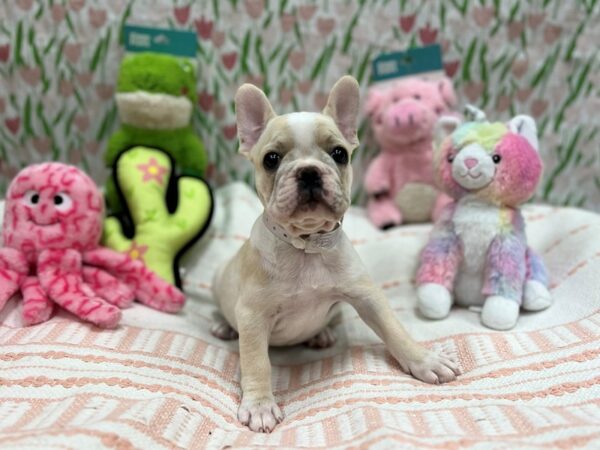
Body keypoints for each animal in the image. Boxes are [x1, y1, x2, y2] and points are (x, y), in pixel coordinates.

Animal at [211, 76, 460, 432]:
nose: (309, 171)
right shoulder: (253, 317)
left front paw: (423, 360)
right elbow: (257, 362)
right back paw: (224, 326)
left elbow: (395, 330)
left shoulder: (367, 297)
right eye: (271, 159)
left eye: (339, 153)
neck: (307, 244)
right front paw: (259, 404)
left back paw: (323, 333)